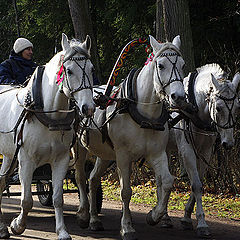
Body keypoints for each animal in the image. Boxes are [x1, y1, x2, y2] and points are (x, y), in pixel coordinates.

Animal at [0, 32, 95, 239]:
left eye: (91, 69)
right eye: (69, 71)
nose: (88, 108)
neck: (49, 114)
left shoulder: (60, 159)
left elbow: (58, 198)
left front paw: (62, 231)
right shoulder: (26, 160)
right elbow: (27, 200)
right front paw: (17, 225)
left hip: (9, 155)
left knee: (1, 181)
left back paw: (1, 227)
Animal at [74, 34, 187, 239]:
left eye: (182, 65)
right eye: (161, 66)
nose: (179, 97)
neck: (144, 114)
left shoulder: (156, 153)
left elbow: (167, 182)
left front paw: (154, 215)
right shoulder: (123, 156)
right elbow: (125, 191)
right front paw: (127, 227)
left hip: (104, 154)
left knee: (93, 179)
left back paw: (94, 220)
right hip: (78, 148)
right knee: (80, 177)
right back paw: (83, 215)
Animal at [167, 64, 240, 238]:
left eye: (237, 108)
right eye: (218, 108)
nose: (228, 143)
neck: (195, 109)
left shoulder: (205, 151)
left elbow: (198, 182)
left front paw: (187, 217)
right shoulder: (187, 151)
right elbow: (196, 185)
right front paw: (201, 223)